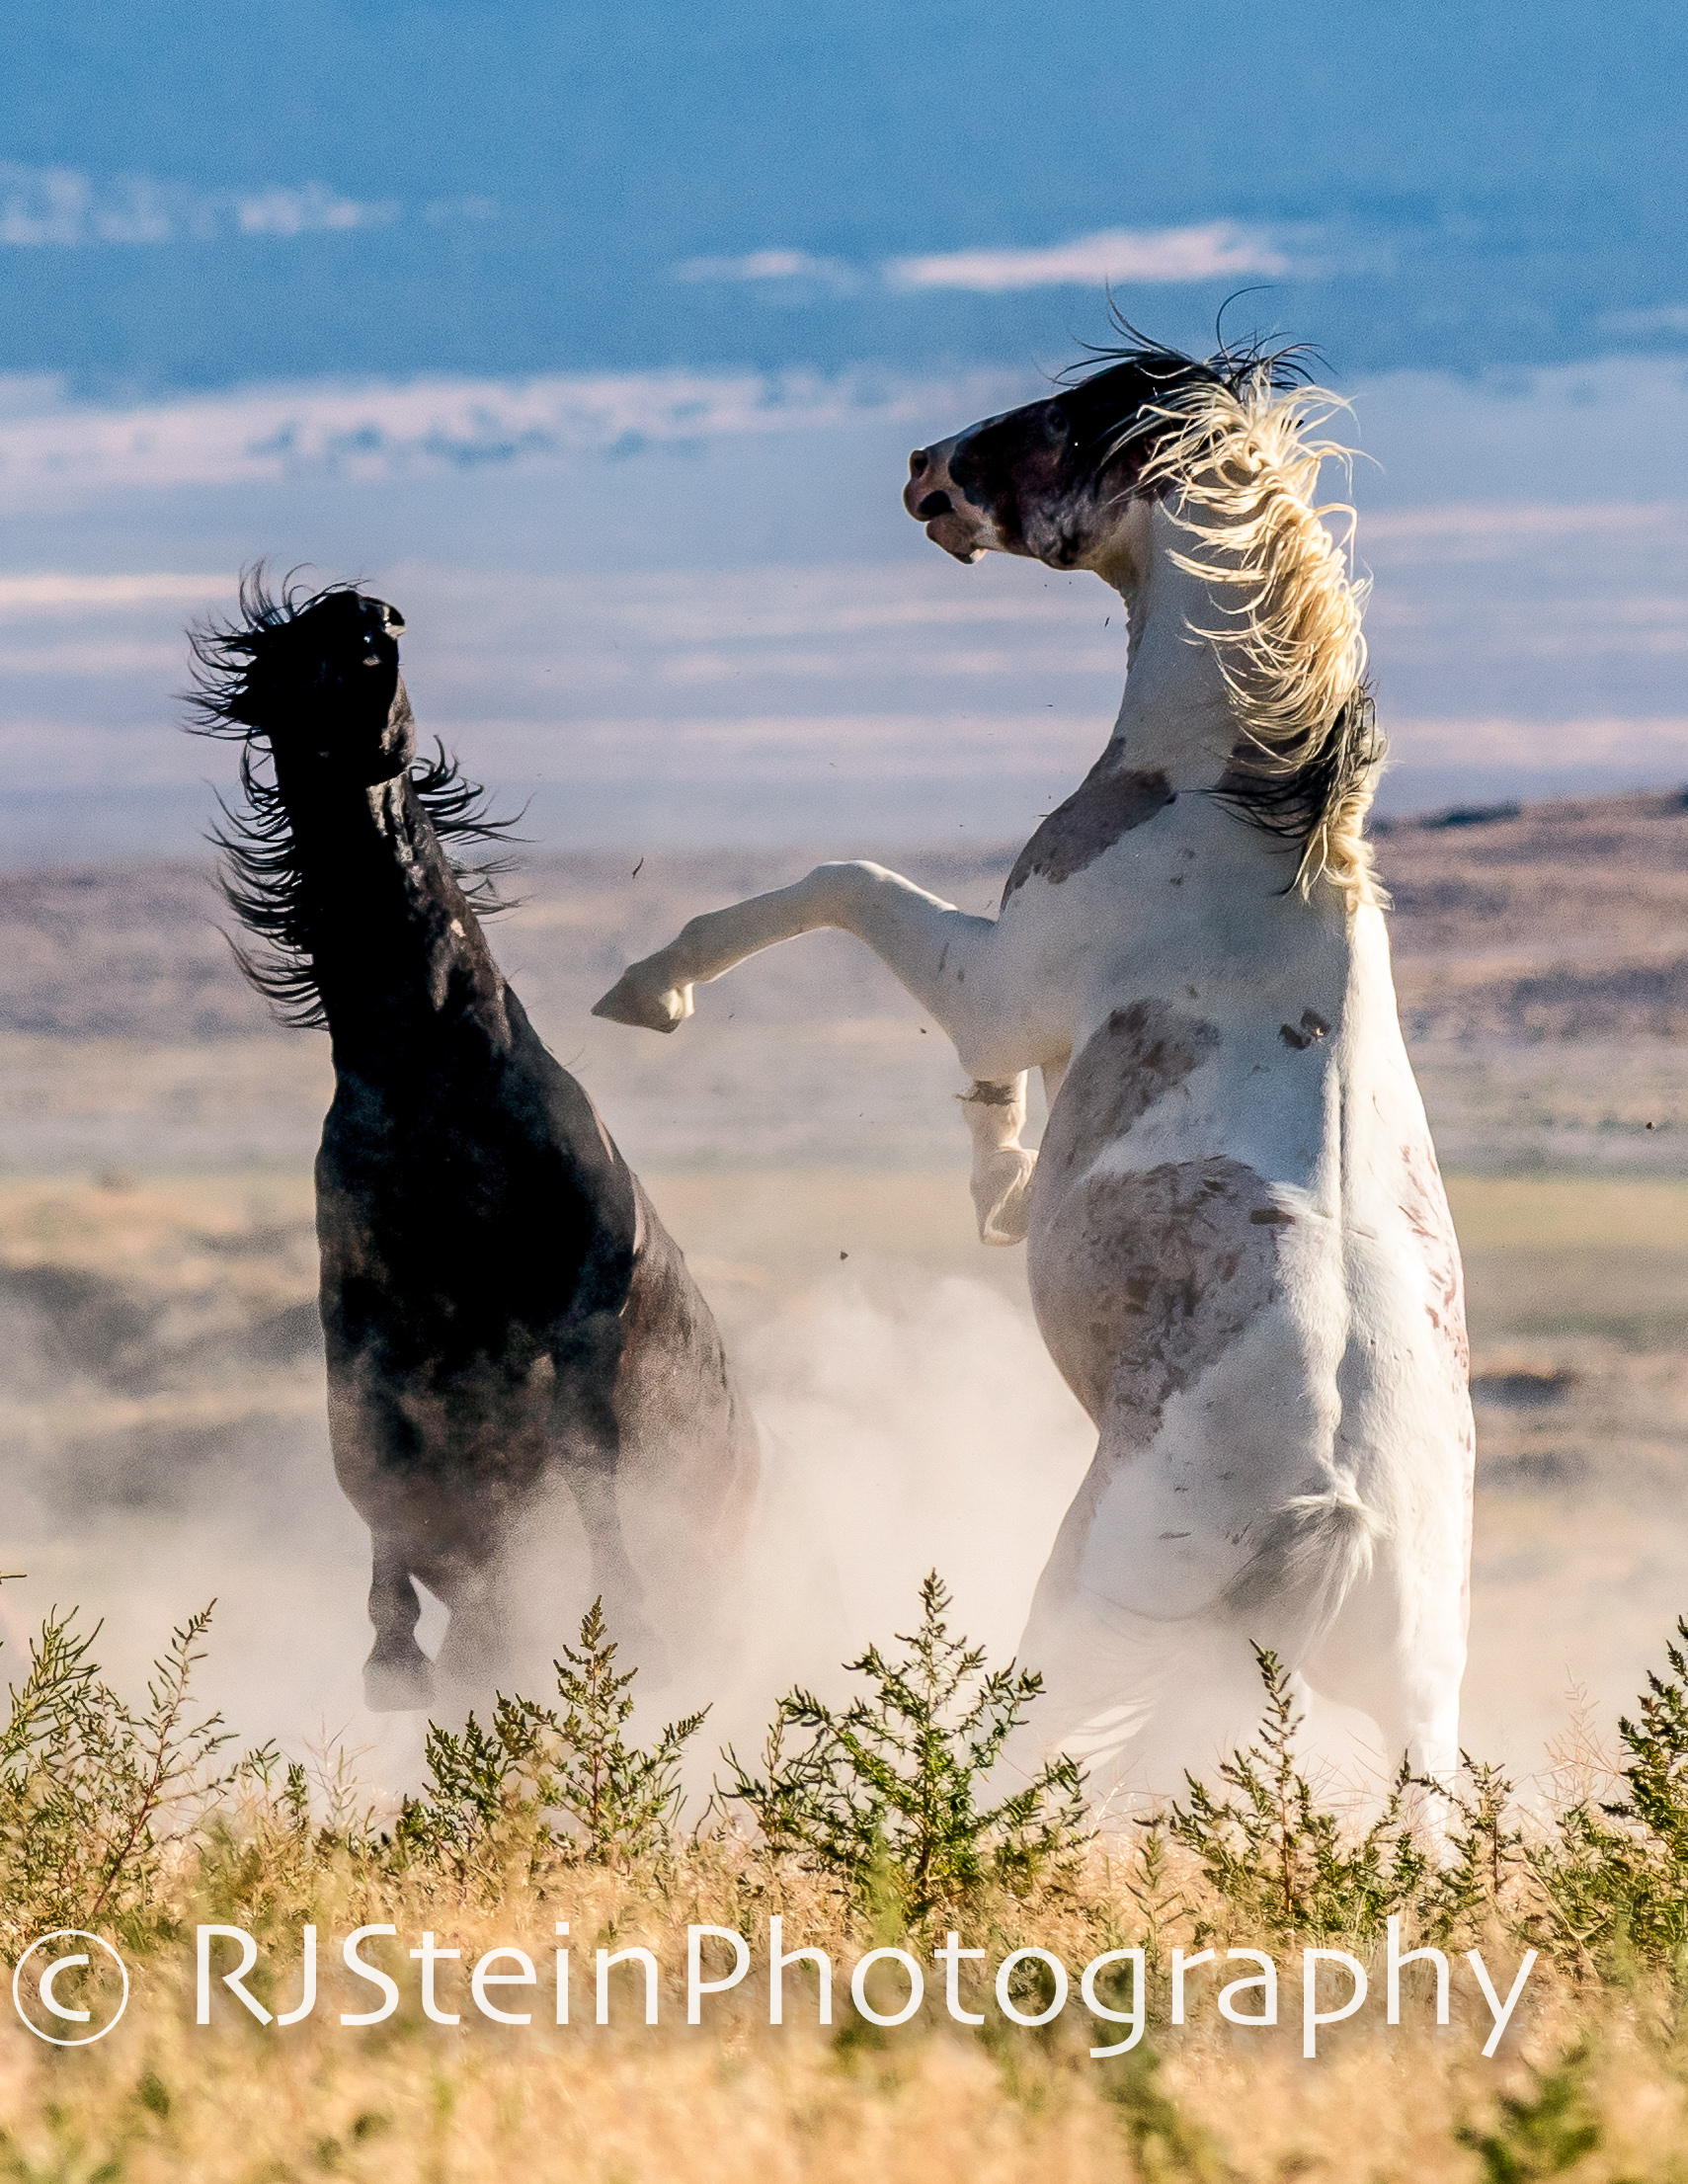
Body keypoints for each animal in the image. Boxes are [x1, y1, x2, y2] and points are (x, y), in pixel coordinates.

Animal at [189, 576, 755, 1703]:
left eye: (385, 627)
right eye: (302, 643)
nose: (368, 620)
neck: (437, 1100)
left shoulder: (585, 1299)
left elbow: (585, 1456)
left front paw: (629, 1622)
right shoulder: (364, 1336)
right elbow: (376, 1483)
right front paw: (389, 1656)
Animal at [598, 340, 1467, 1799]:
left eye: (1059, 424)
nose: (923, 472)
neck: (1228, 822)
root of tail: (1329, 1516)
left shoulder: (995, 989)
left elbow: (845, 886)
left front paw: (650, 986)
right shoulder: (1008, 1009)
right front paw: (1003, 1189)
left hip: (1077, 1626)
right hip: (1418, 1739)